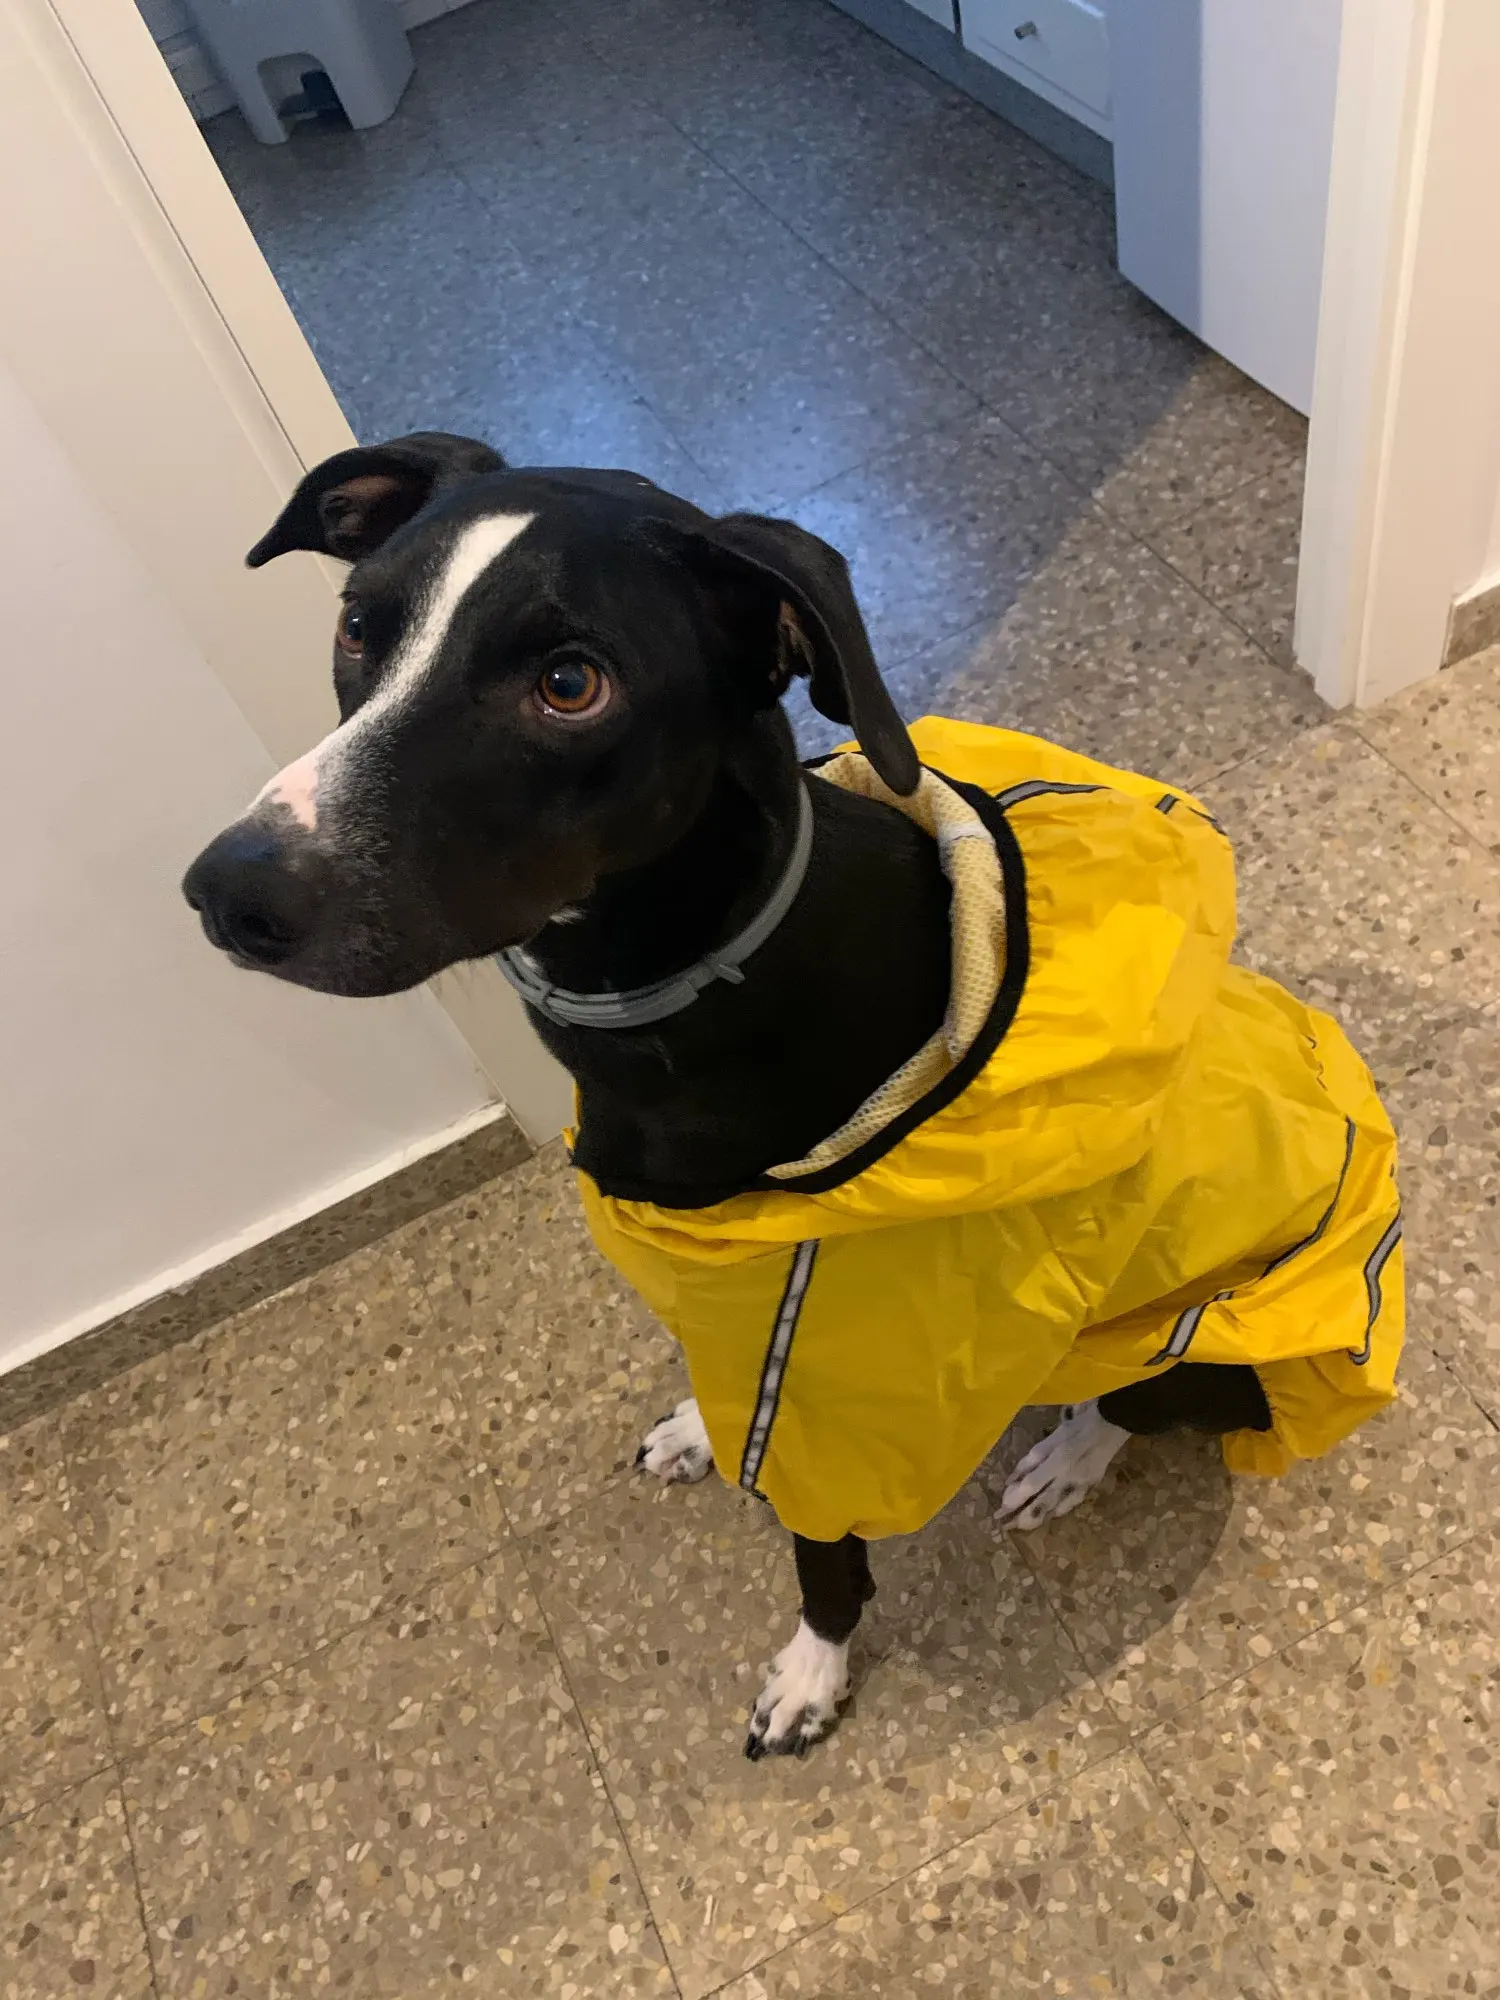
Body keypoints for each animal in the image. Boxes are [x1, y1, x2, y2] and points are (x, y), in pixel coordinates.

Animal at [185, 432, 1404, 1758]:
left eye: (571, 682)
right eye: (361, 624)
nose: (229, 893)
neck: (693, 993)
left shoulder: (832, 1376)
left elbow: (824, 1554)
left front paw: (814, 1669)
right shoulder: (716, 1289)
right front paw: (693, 1426)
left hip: (1207, 1333)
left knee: (1138, 1397)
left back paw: (1072, 1457)